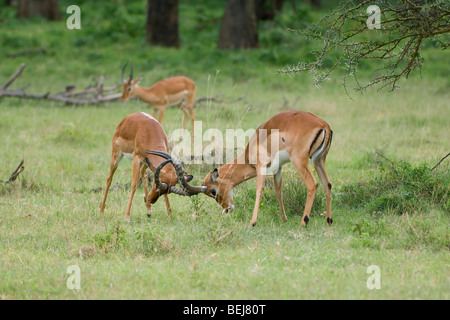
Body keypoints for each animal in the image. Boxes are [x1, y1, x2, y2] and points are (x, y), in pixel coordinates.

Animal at [201, 110, 334, 228]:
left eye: (213, 191)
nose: (227, 209)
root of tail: (323, 125)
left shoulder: (261, 166)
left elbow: (259, 190)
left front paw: (252, 223)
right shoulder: (278, 168)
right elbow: (278, 191)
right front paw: (284, 219)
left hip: (299, 161)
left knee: (312, 184)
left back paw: (303, 222)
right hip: (318, 161)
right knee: (327, 184)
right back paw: (328, 221)